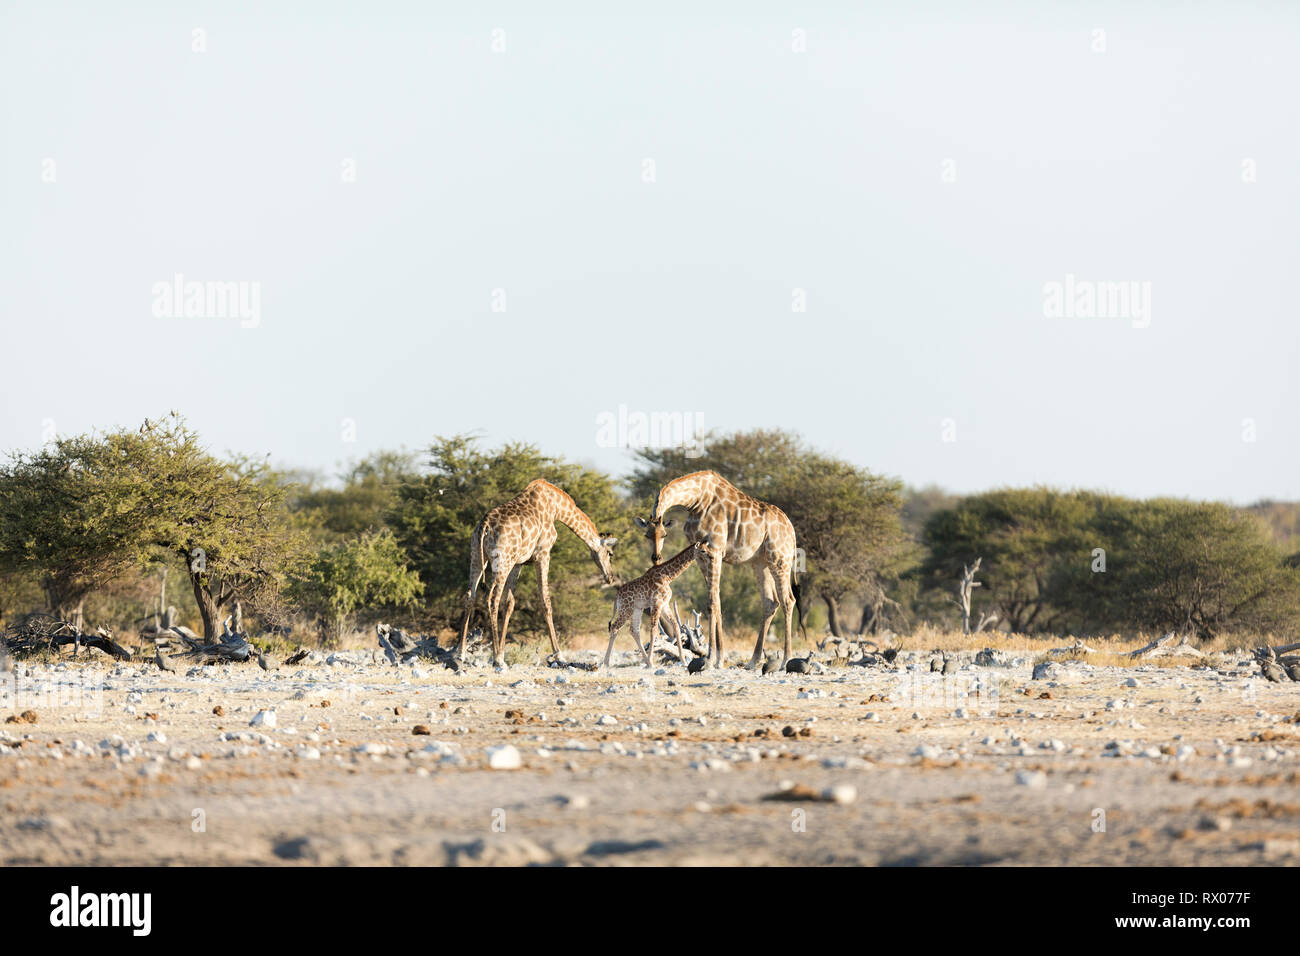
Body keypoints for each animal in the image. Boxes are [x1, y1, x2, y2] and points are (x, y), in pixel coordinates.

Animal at [457, 476, 618, 665]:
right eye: (610, 553)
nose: (610, 578)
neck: (556, 508)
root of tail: (484, 526)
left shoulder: (518, 562)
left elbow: (510, 602)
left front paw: (503, 651)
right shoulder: (543, 554)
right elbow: (545, 601)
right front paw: (558, 654)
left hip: (477, 557)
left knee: (470, 595)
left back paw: (461, 653)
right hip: (502, 560)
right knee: (492, 598)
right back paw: (496, 658)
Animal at [603, 541, 717, 671]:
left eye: (707, 548)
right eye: (703, 551)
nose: (712, 557)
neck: (668, 576)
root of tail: (617, 596)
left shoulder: (664, 604)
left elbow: (675, 626)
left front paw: (683, 660)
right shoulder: (656, 603)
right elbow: (654, 629)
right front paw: (653, 662)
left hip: (637, 609)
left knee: (634, 630)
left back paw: (646, 661)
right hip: (626, 609)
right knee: (615, 627)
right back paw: (606, 663)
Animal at [634, 468, 795, 665]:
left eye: (664, 534)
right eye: (646, 535)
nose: (656, 557)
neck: (695, 501)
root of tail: (791, 530)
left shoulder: (715, 551)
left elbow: (711, 602)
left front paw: (711, 657)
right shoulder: (701, 556)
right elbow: (716, 601)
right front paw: (719, 657)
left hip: (780, 559)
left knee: (788, 600)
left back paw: (786, 660)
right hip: (760, 563)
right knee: (770, 602)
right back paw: (753, 661)